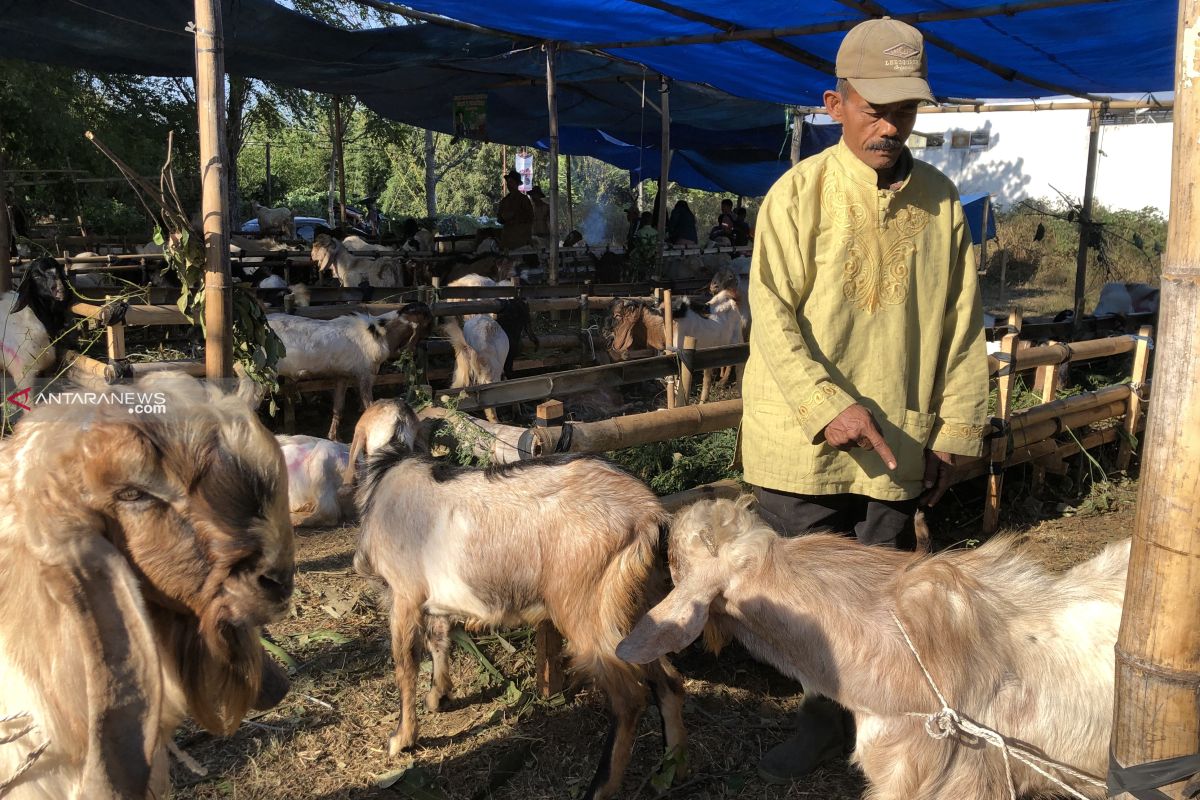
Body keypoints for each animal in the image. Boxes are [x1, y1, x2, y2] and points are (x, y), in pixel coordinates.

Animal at [270, 302, 434, 438]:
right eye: (426, 324)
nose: (426, 345)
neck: (380, 333)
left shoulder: (343, 376)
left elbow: (338, 408)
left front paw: (334, 437)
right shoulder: (366, 374)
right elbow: (369, 406)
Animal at [352, 450, 686, 800]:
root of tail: (648, 511)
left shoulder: (404, 595)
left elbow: (405, 664)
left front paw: (402, 738)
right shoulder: (433, 601)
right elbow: (439, 639)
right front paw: (439, 696)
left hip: (588, 607)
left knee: (629, 698)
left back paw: (599, 788)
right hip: (636, 605)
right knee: (669, 680)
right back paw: (672, 770)